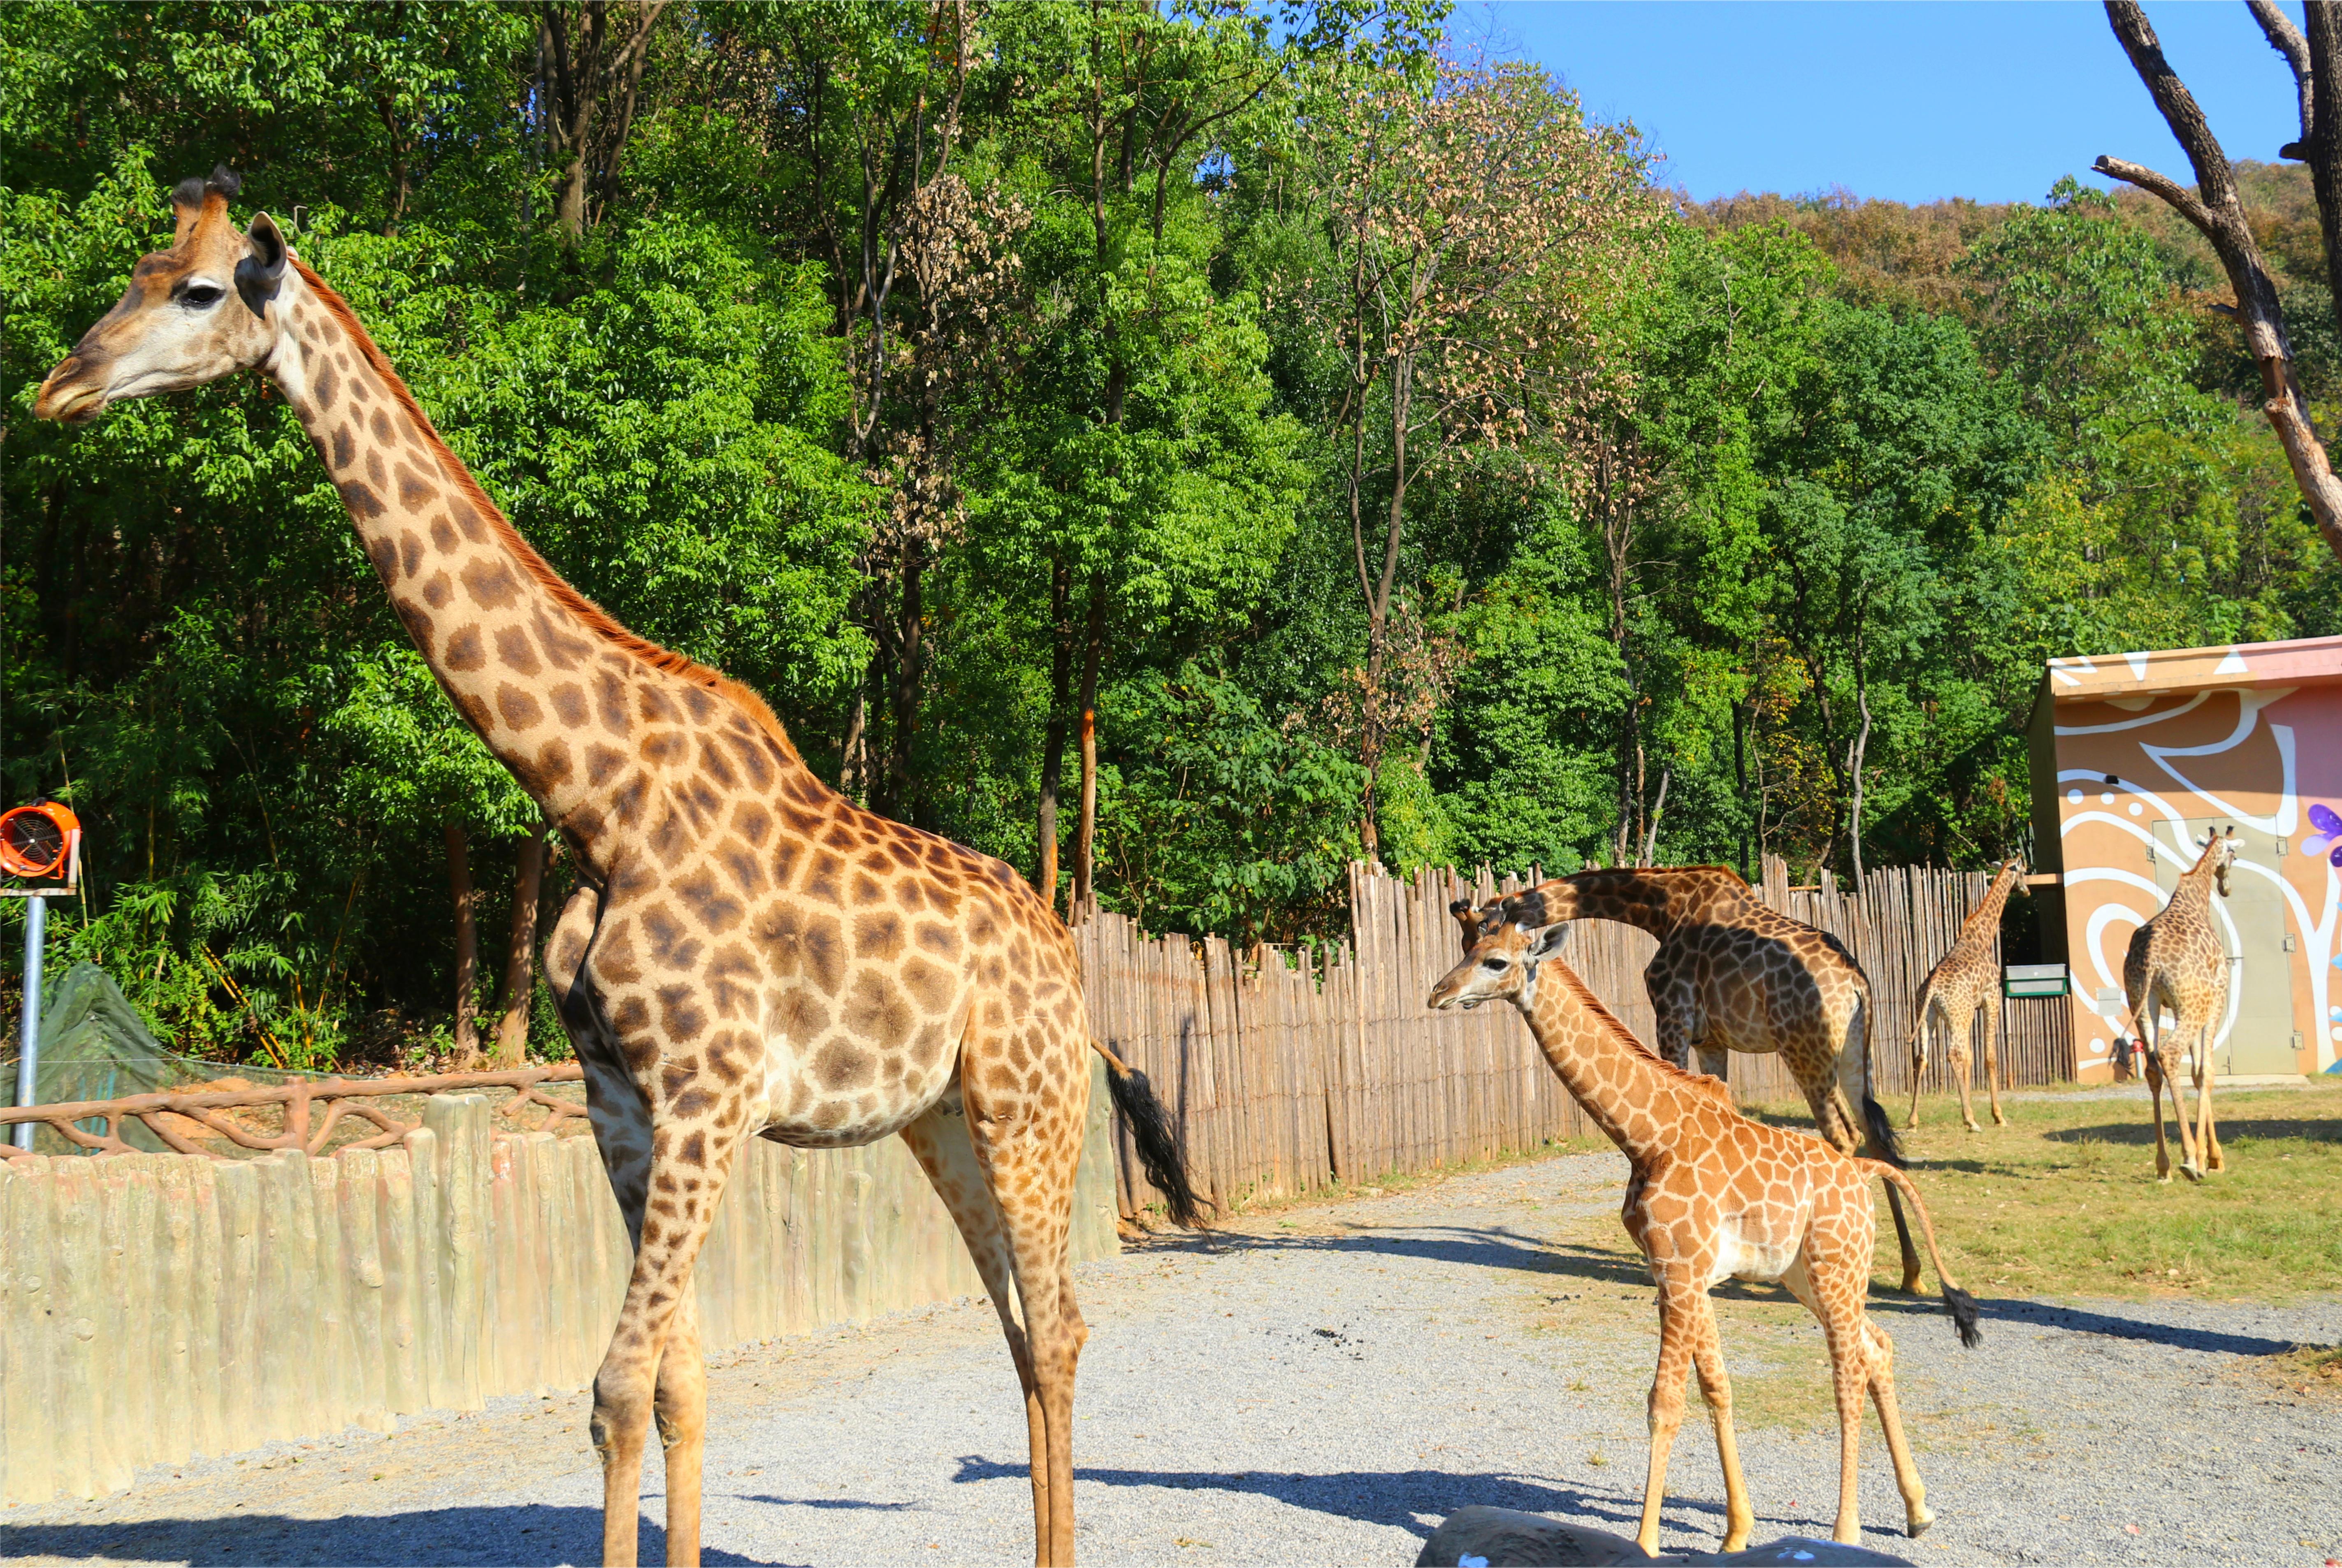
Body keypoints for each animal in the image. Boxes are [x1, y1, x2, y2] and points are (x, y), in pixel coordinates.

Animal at [32, 168, 1208, 1568]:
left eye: (201, 290)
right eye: (138, 271)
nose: (57, 384)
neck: (594, 799)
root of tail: (1071, 972)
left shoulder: (709, 1093)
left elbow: (612, 1386)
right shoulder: (620, 1097)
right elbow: (674, 1381)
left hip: (1026, 1108)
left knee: (1062, 1324)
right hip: (942, 1120)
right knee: (1024, 1332)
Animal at [1424, 898, 1976, 1563]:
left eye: (1496, 961)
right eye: (1466, 948)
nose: (1438, 993)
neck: (1645, 1135)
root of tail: (1864, 1171)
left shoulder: (1680, 1270)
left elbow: (1663, 1401)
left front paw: (1645, 1542)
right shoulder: (1683, 1273)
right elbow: (1716, 1384)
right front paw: (1737, 1531)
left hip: (1834, 1265)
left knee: (1846, 1369)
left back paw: (1845, 1532)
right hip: (1806, 1276)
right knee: (1877, 1347)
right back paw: (1918, 1510)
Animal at [1901, 866, 2033, 1137]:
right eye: (2024, 871)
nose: (2027, 891)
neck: (1984, 933)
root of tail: (1932, 988)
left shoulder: (1972, 1007)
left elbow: (1971, 1056)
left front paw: (1970, 1108)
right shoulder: (1991, 998)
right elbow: (1989, 1056)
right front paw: (1997, 1116)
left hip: (1929, 1015)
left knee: (1923, 1057)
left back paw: (1913, 1120)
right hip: (1957, 1015)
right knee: (1952, 1054)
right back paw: (1972, 1121)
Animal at [2117, 828, 2239, 1184]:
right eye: (2234, 855)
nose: (2226, 887)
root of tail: (2151, 960)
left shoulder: (2181, 1006)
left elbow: (2197, 1074)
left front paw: (2210, 1157)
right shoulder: (2215, 998)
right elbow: (2206, 1073)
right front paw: (2209, 1157)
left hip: (2142, 1002)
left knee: (2152, 1067)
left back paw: (2163, 1166)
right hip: (2190, 1006)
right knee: (2169, 1054)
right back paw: (2187, 1161)